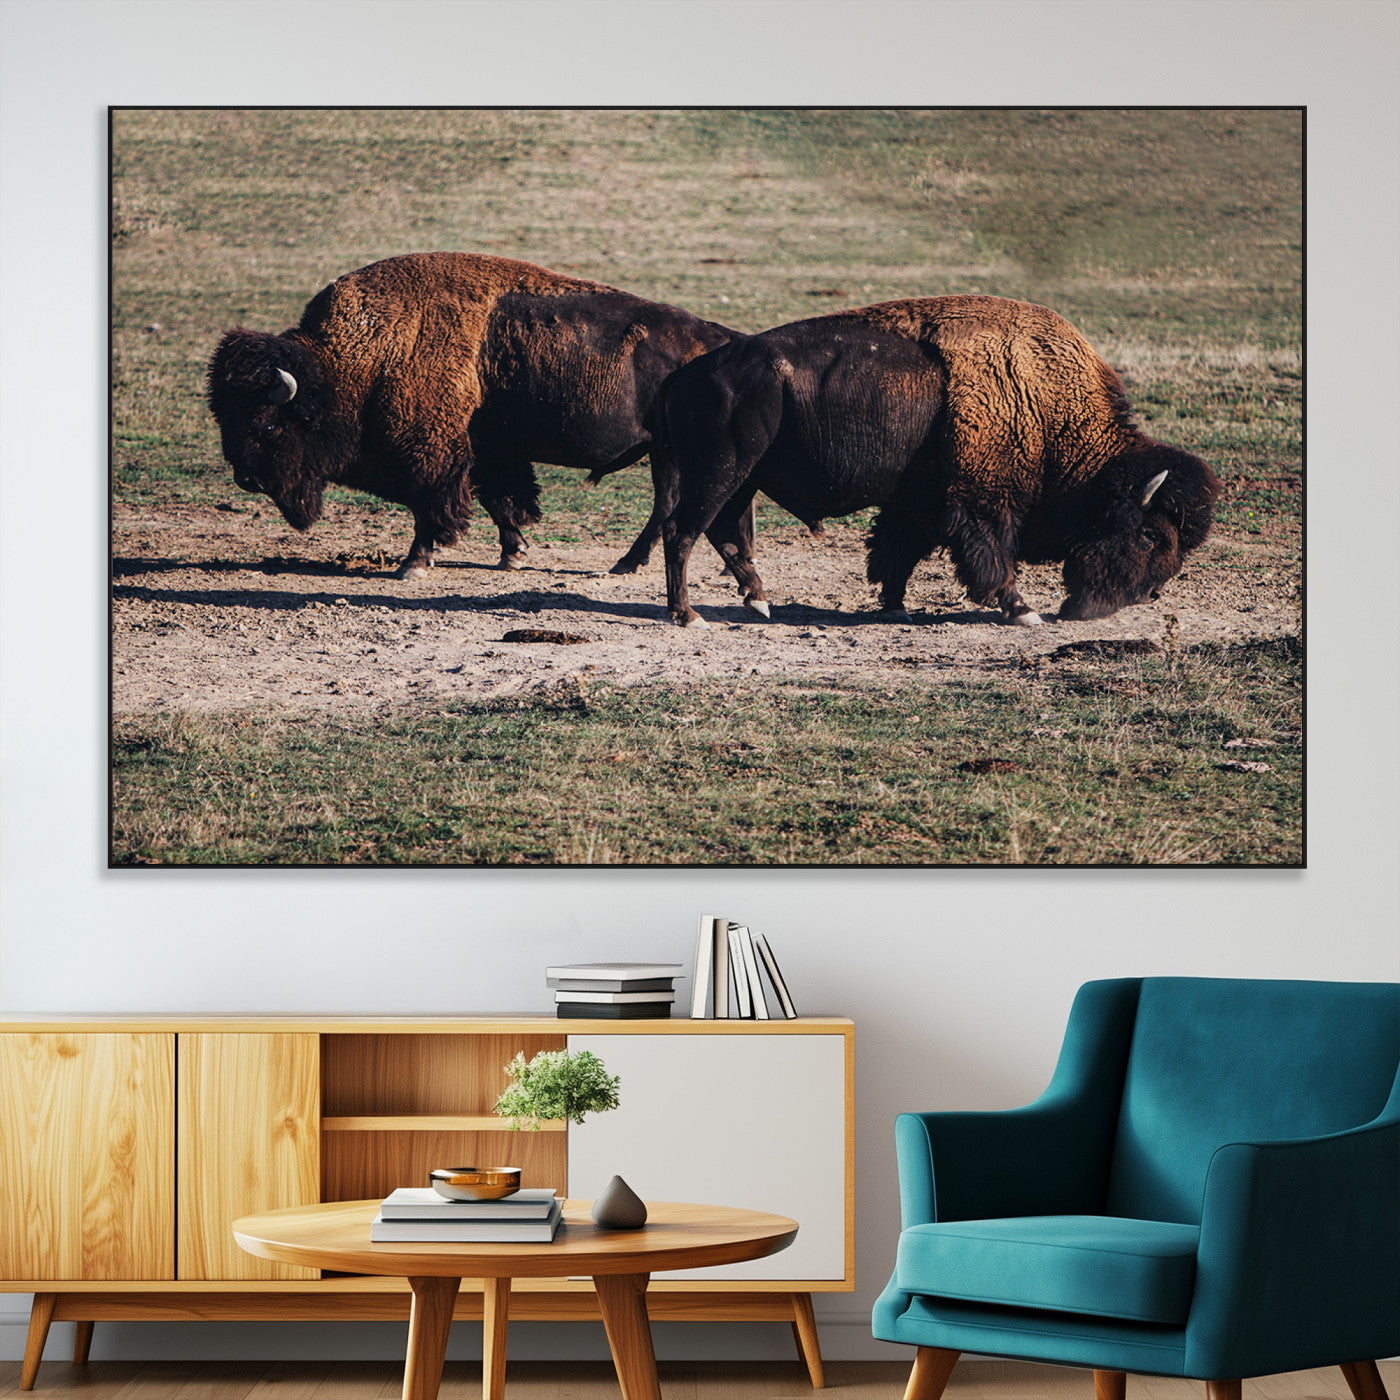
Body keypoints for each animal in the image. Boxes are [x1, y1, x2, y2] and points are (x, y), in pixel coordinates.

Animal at [207, 252, 737, 576]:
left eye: (268, 425)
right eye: (224, 417)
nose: (247, 479)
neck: (358, 361)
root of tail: (720, 338)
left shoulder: (432, 456)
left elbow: (431, 507)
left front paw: (413, 564)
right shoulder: (485, 452)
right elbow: (498, 500)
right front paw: (513, 555)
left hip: (668, 452)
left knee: (665, 504)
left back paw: (627, 563)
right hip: (663, 453)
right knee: (667, 502)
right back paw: (628, 562)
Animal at [656, 295, 1222, 628]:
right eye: (1149, 535)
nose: (1147, 595)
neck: (1045, 408)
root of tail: (686, 374)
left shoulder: (919, 504)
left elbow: (897, 550)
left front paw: (894, 606)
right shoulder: (981, 505)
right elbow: (994, 557)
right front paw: (1024, 611)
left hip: (743, 479)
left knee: (723, 533)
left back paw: (758, 601)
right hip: (720, 473)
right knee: (682, 532)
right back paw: (688, 615)